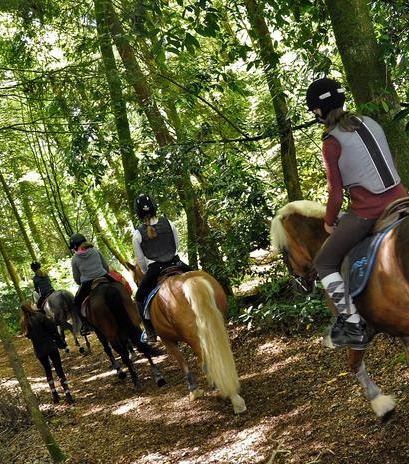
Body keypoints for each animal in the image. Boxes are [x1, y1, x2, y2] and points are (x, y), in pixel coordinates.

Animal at [124, 262, 245, 416]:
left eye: (135, 281)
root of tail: (189, 281)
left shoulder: (167, 340)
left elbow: (182, 363)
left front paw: (195, 391)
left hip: (195, 338)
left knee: (206, 362)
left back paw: (233, 399)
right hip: (217, 325)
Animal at [270, 199, 408, 420]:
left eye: (284, 252)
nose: (298, 287)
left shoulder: (359, 333)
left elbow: (354, 364)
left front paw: (380, 403)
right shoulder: (401, 328)